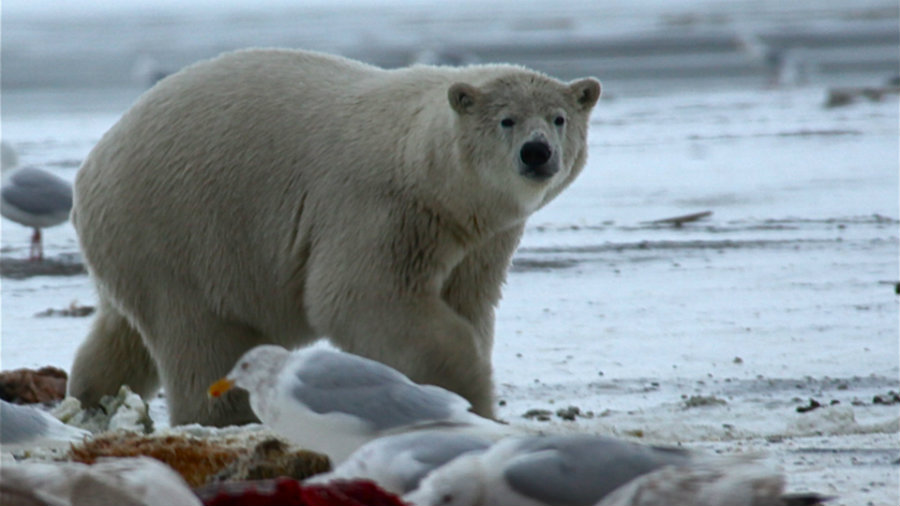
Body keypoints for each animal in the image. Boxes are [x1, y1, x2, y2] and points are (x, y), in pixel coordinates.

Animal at [65, 48, 596, 426]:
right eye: (507, 119)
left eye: (559, 118)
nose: (537, 153)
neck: (423, 166)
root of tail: (89, 170)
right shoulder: (378, 208)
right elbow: (357, 296)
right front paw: (470, 396)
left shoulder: (478, 239)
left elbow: (469, 301)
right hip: (176, 233)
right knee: (200, 334)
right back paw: (227, 416)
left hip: (137, 245)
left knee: (122, 332)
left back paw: (93, 398)